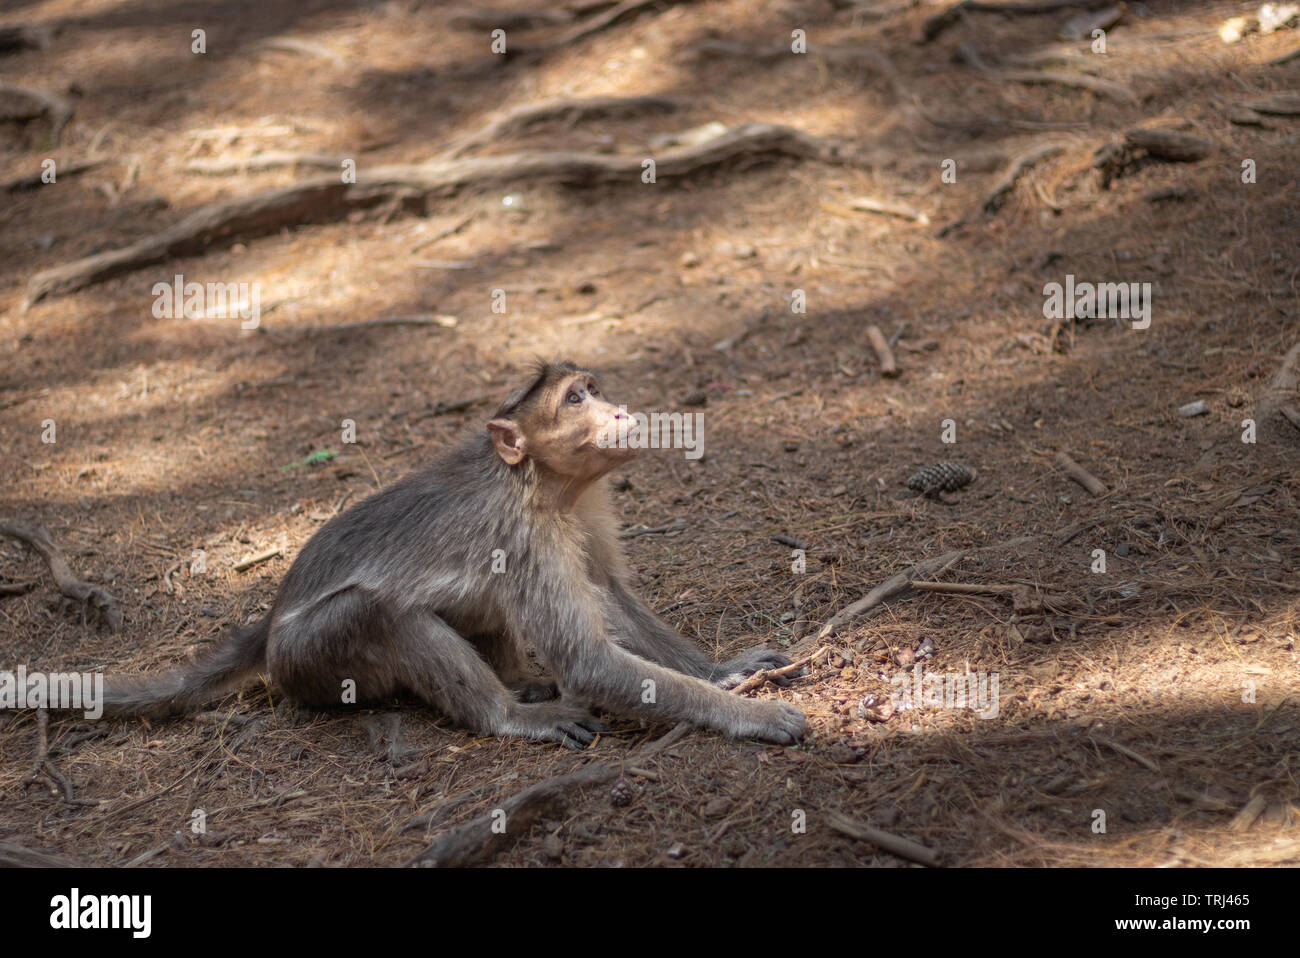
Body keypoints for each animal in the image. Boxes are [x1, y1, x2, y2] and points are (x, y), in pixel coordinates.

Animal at [104, 358, 800, 748]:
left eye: (595, 388)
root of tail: (272, 617)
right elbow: (590, 661)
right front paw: (749, 715)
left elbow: (607, 593)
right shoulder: (522, 536)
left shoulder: (583, 507)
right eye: (577, 400)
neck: (540, 482)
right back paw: (507, 714)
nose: (620, 411)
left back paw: (518, 682)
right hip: (308, 660)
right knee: (377, 612)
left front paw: (721, 671)